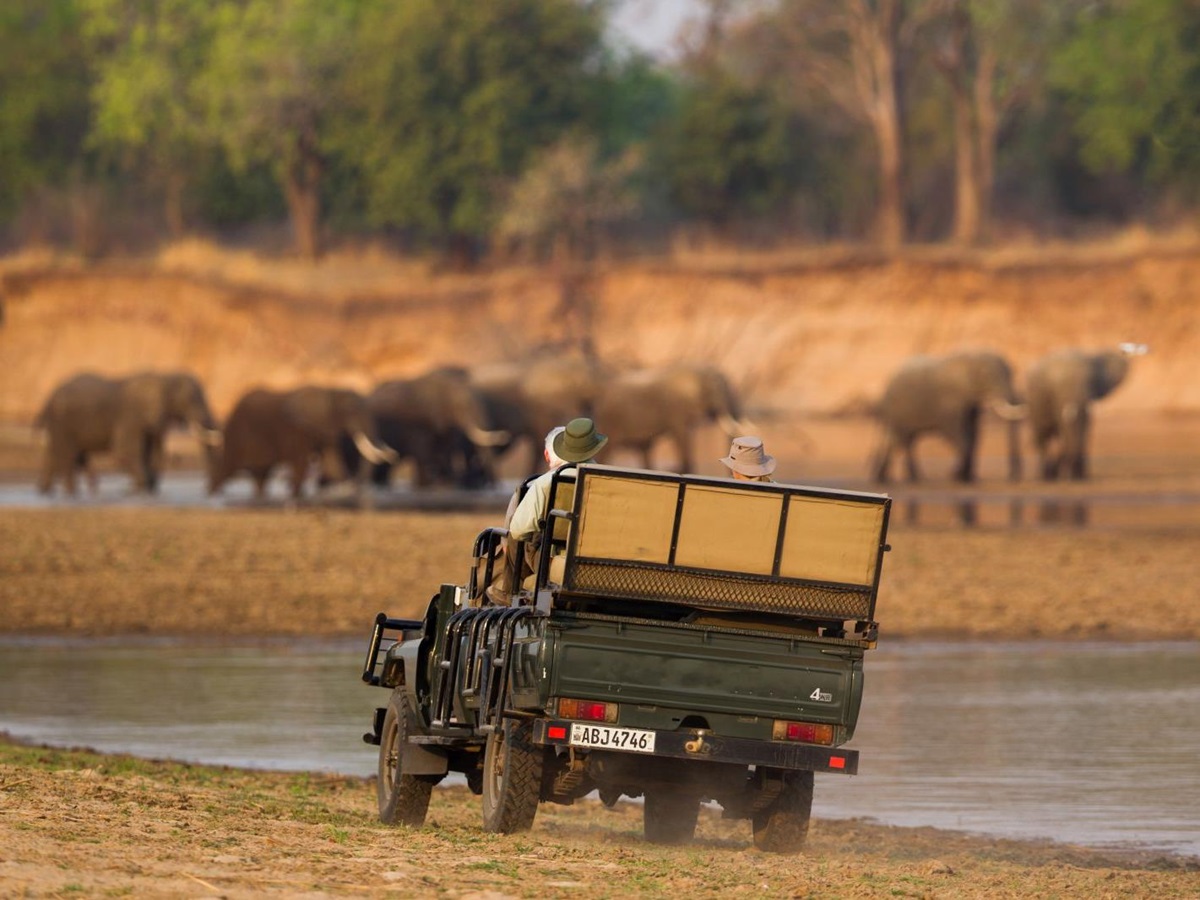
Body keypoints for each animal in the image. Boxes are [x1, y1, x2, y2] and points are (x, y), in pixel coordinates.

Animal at [35, 371, 221, 496]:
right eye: (191, 399)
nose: (204, 487)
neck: (164, 377)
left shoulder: (151, 420)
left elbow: (153, 451)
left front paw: (147, 488)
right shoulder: (132, 416)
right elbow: (125, 450)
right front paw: (141, 488)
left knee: (55, 456)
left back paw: (46, 492)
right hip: (61, 421)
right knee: (66, 456)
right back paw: (71, 493)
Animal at [209, 385, 396, 499]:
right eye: (350, 410)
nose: (392, 453)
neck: (329, 390)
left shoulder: (326, 429)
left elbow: (333, 466)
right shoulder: (296, 430)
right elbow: (301, 465)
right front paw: (296, 495)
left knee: (260, 477)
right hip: (235, 436)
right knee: (224, 470)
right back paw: (213, 494)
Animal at [592, 363, 752, 473]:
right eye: (716, 390)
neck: (697, 370)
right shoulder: (676, 408)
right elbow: (681, 436)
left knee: (645, 450)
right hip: (610, 420)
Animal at [870, 350, 1024, 484]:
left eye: (1011, 373)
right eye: (988, 376)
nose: (1013, 476)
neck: (973, 356)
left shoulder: (969, 404)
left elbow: (974, 433)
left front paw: (970, 478)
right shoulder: (949, 402)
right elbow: (957, 434)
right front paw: (956, 475)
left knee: (897, 440)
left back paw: (883, 478)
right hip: (898, 410)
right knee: (906, 441)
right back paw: (915, 478)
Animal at [1025, 343, 1147, 481]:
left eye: (1090, 381)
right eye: (1056, 386)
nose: (1065, 474)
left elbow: (1082, 429)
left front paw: (1079, 477)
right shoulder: (1058, 399)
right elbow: (1070, 431)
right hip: (1035, 402)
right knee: (1042, 436)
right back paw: (1046, 476)